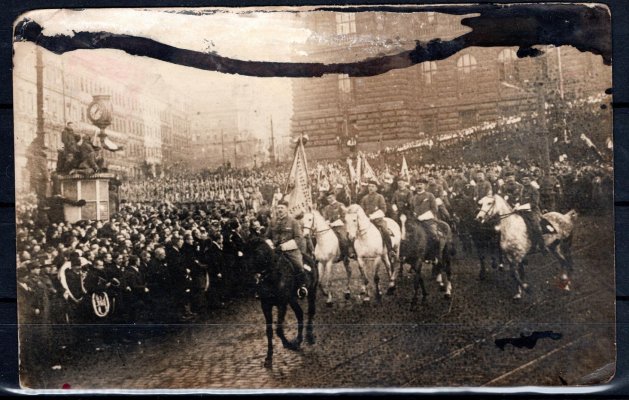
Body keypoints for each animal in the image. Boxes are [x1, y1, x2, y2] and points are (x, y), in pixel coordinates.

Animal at [243, 238, 316, 368]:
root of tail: (310, 257)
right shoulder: (266, 306)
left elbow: (278, 329)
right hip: (292, 300)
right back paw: (298, 340)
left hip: (312, 292)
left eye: (257, 252)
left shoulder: (282, 304)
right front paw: (269, 358)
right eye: (245, 251)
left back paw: (309, 336)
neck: (272, 277)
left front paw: (288, 344)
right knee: (300, 314)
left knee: (311, 311)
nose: (246, 268)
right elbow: (269, 331)